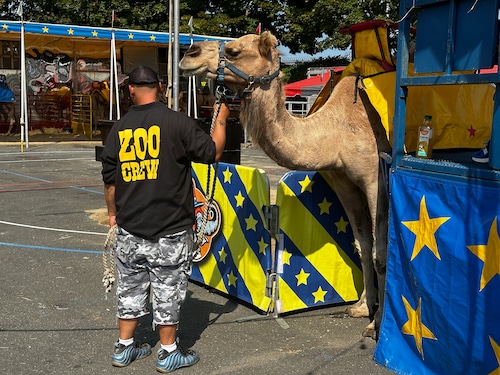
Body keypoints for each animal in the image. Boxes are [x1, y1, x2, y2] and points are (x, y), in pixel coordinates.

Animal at [179, 30, 390, 340]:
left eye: (233, 51)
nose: (188, 54)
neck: (337, 131)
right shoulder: (344, 182)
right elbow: (362, 245)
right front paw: (363, 308)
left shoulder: (376, 179)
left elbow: (381, 252)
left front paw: (377, 326)